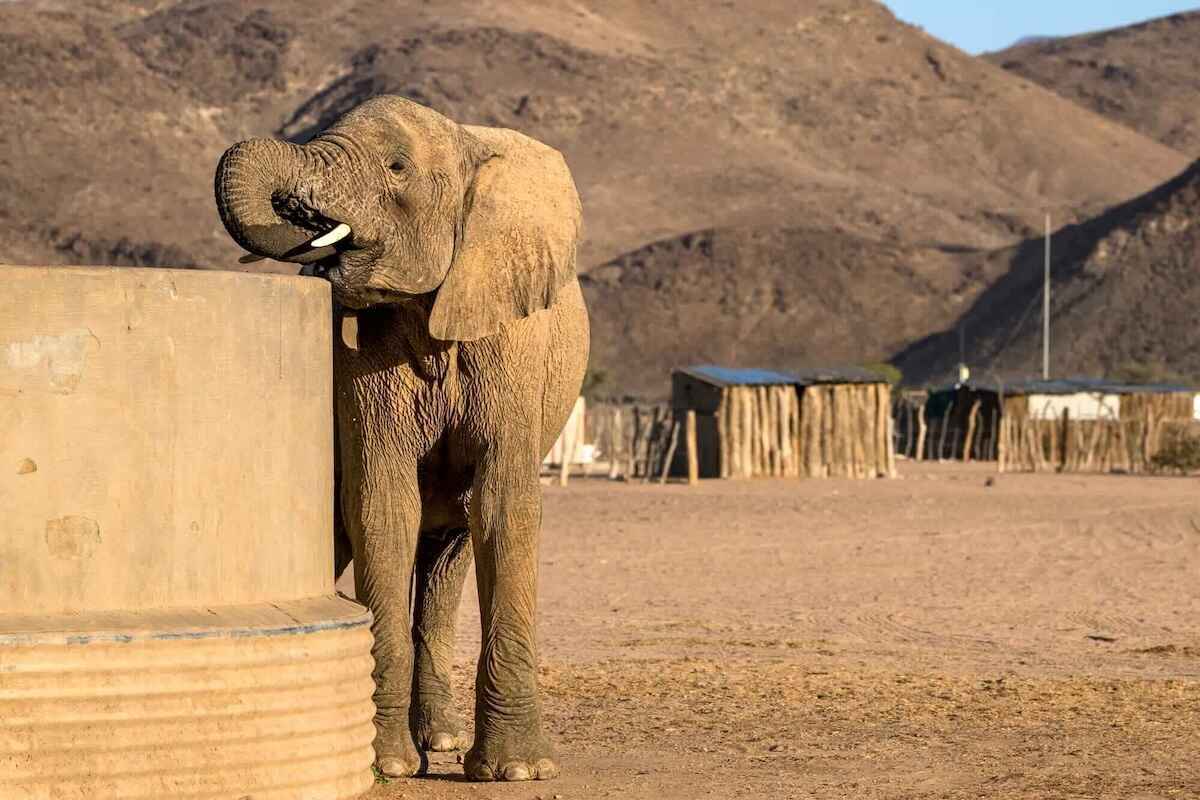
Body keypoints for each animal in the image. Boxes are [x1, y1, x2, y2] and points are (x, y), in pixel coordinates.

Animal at [212, 95, 588, 782]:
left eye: (396, 168)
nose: (309, 235)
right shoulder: (357, 361)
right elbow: (383, 508)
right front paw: (385, 765)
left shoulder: (516, 343)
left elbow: (504, 506)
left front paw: (518, 772)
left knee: (450, 554)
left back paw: (441, 742)